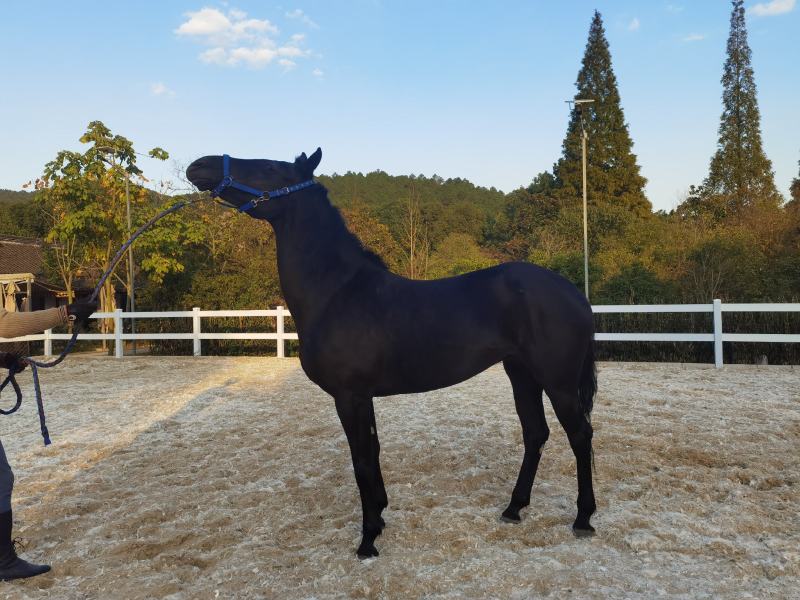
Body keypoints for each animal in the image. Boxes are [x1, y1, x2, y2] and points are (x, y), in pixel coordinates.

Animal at [186, 149, 598, 558]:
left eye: (270, 167)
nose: (199, 166)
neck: (337, 292)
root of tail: (574, 293)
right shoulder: (363, 396)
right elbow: (374, 451)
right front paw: (380, 516)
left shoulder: (349, 396)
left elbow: (361, 461)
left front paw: (368, 538)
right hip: (522, 375)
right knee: (535, 433)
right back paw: (514, 508)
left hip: (558, 383)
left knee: (580, 435)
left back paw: (583, 518)